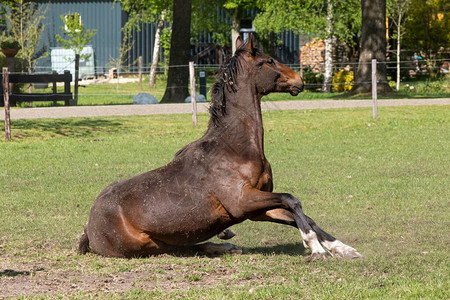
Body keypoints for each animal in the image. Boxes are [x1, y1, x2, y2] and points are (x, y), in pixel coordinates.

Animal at [78, 35, 362, 258]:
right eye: (268, 61)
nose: (299, 80)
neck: (235, 147)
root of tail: (89, 228)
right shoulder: (242, 201)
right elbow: (292, 200)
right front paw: (314, 247)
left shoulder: (256, 209)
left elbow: (302, 215)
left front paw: (343, 249)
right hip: (148, 245)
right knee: (182, 249)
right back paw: (225, 244)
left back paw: (227, 242)